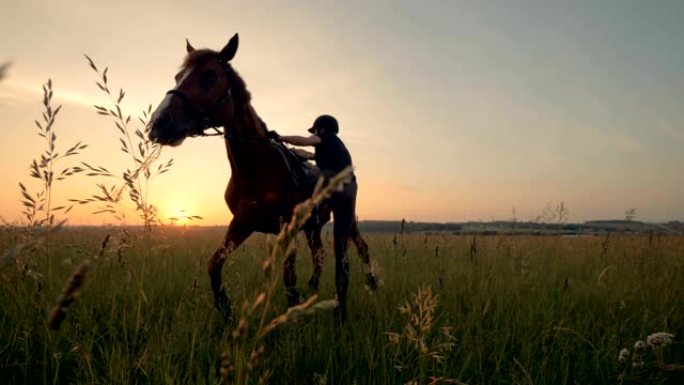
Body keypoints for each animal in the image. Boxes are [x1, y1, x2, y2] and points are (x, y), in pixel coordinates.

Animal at [148, 33, 380, 316]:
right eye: (178, 76)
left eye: (211, 76)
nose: (159, 122)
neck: (257, 169)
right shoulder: (242, 223)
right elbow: (214, 265)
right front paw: (226, 312)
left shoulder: (287, 228)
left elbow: (289, 280)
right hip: (313, 228)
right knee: (320, 258)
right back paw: (312, 293)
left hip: (345, 222)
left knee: (351, 257)